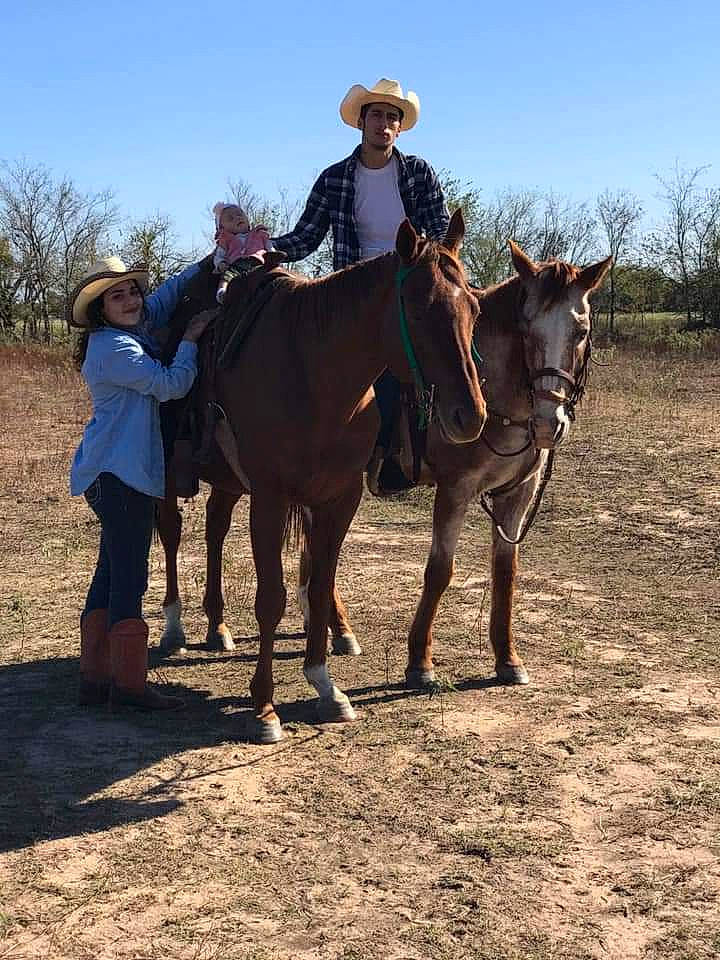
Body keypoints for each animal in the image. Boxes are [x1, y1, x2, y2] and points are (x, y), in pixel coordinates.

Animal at [156, 211, 487, 743]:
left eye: (474, 306)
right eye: (418, 310)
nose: (469, 416)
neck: (313, 374)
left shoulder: (340, 498)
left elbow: (320, 583)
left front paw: (326, 686)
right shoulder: (270, 498)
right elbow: (272, 598)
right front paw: (265, 708)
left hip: (228, 482)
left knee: (214, 529)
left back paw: (218, 626)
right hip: (169, 471)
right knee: (170, 533)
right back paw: (174, 628)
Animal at [296, 241, 612, 687]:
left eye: (580, 332)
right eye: (526, 327)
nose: (549, 424)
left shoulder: (518, 493)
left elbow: (506, 571)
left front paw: (507, 658)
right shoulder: (455, 489)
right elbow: (440, 570)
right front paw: (420, 662)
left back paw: (324, 623)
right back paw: (335, 626)